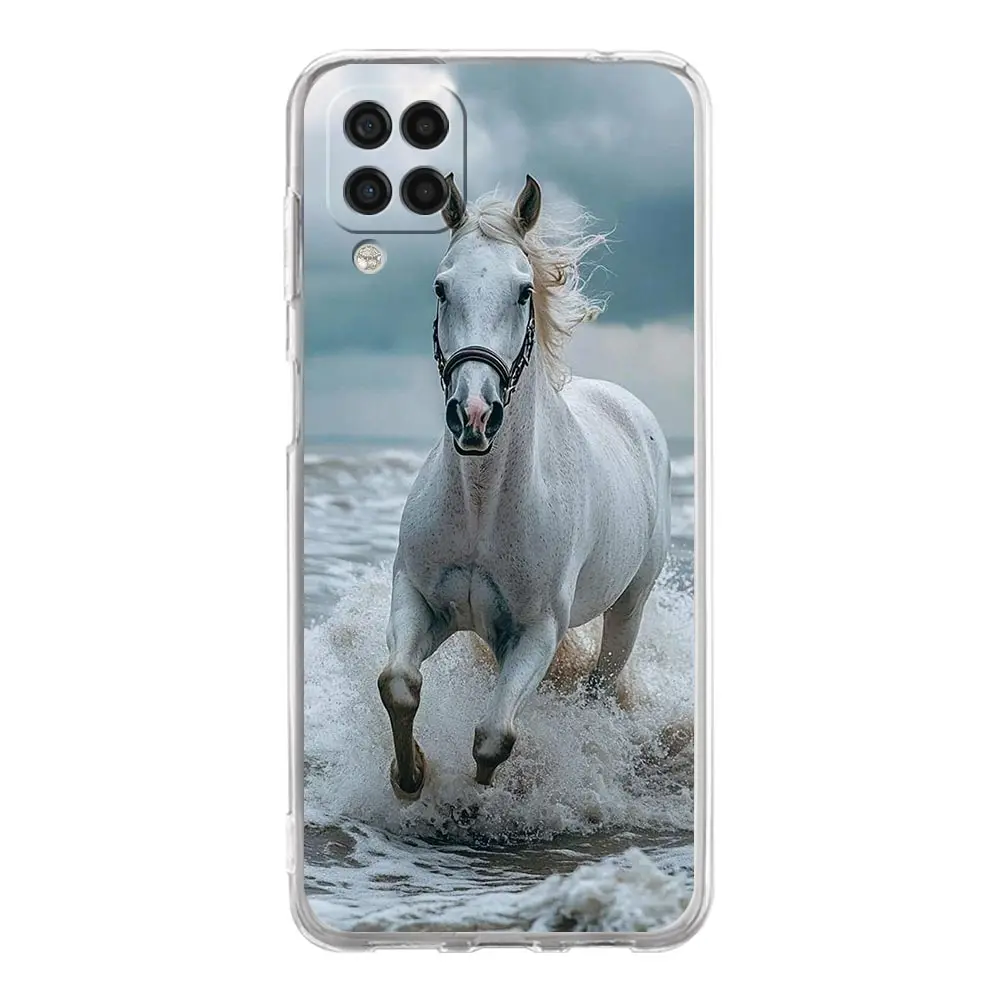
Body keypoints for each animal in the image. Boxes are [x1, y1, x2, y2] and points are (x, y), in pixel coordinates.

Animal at [377, 174, 671, 799]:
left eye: (522, 292)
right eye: (441, 287)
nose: (474, 416)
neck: (482, 508)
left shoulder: (537, 632)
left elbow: (494, 736)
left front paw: (475, 797)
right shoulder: (420, 598)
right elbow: (399, 683)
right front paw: (409, 776)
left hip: (628, 609)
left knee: (599, 687)